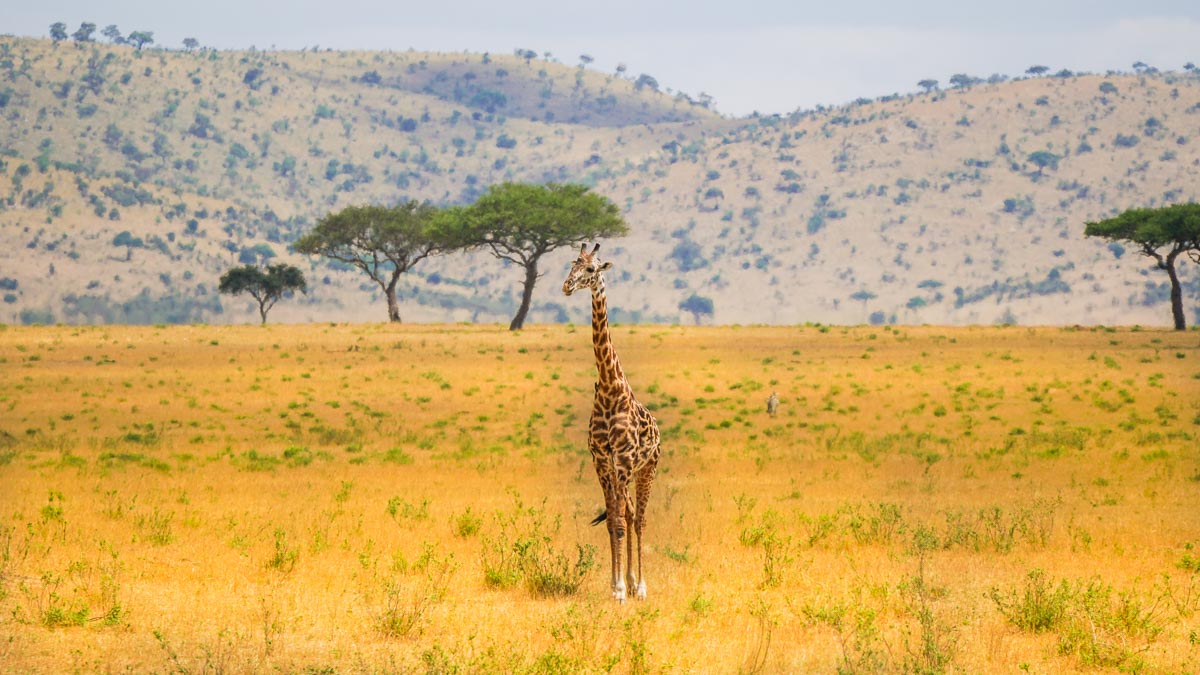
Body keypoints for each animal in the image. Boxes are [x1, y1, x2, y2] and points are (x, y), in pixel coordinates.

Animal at [559, 241, 662, 598]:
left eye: (591, 270)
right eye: (571, 265)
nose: (567, 286)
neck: (608, 387)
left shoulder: (625, 459)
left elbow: (618, 520)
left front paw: (621, 590)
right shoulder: (601, 460)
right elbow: (614, 521)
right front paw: (615, 585)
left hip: (647, 467)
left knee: (640, 518)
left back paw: (640, 586)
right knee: (629, 513)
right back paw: (630, 581)